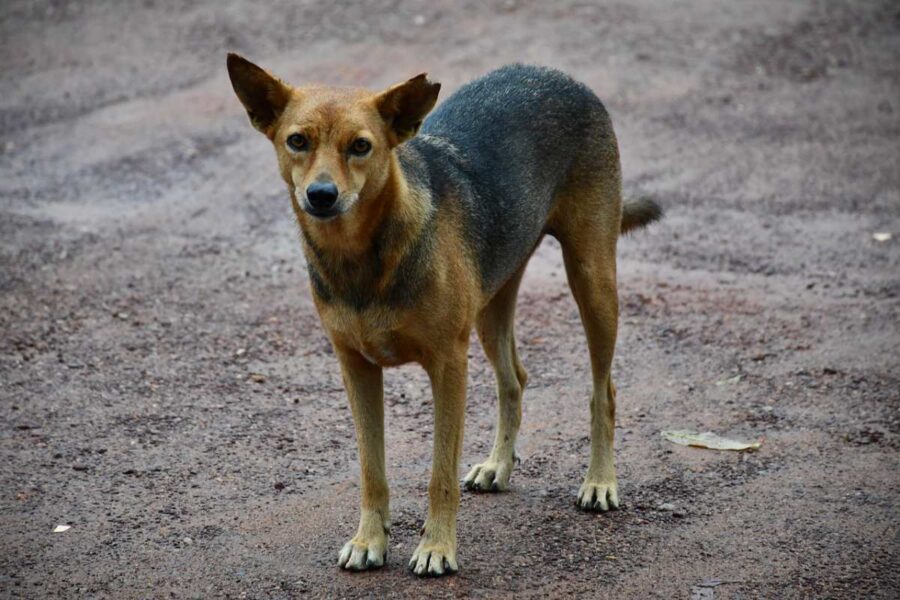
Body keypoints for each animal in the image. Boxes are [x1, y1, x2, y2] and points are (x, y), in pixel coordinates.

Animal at [225, 56, 660, 576]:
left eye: (360, 146)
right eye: (297, 141)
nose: (322, 195)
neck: (363, 256)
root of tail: (555, 73)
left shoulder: (448, 365)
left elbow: (439, 474)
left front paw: (436, 548)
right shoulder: (356, 368)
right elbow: (371, 470)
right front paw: (369, 540)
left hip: (592, 281)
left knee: (603, 391)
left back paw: (599, 481)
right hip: (492, 305)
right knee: (514, 379)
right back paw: (498, 465)